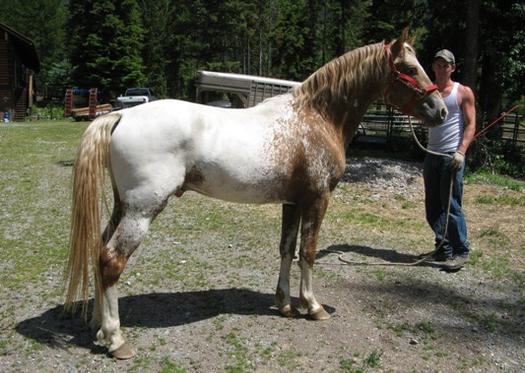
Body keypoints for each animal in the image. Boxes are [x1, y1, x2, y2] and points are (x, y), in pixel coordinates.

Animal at [62, 29, 446, 358]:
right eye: (409, 68)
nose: (441, 110)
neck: (317, 117)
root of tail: (122, 115)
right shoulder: (317, 200)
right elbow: (308, 252)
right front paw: (313, 307)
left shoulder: (293, 202)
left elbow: (287, 249)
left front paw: (286, 304)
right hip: (142, 211)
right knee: (111, 260)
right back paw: (116, 339)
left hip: (123, 206)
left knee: (99, 249)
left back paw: (99, 327)